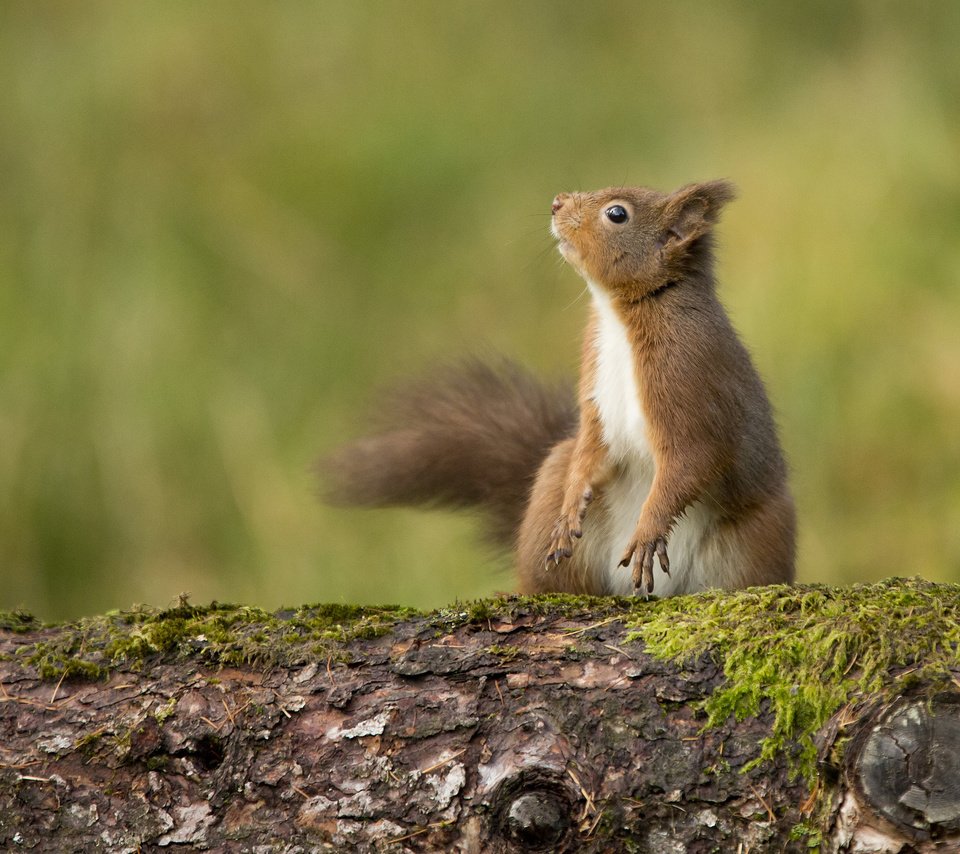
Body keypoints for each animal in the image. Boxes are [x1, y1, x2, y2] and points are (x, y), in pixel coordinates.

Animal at [322, 181, 796, 596]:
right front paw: (572, 507)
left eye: (617, 214)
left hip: (757, 539)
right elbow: (591, 445)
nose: (556, 203)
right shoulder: (595, 389)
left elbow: (692, 459)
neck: (621, 314)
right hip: (551, 488)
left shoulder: (691, 379)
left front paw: (647, 532)